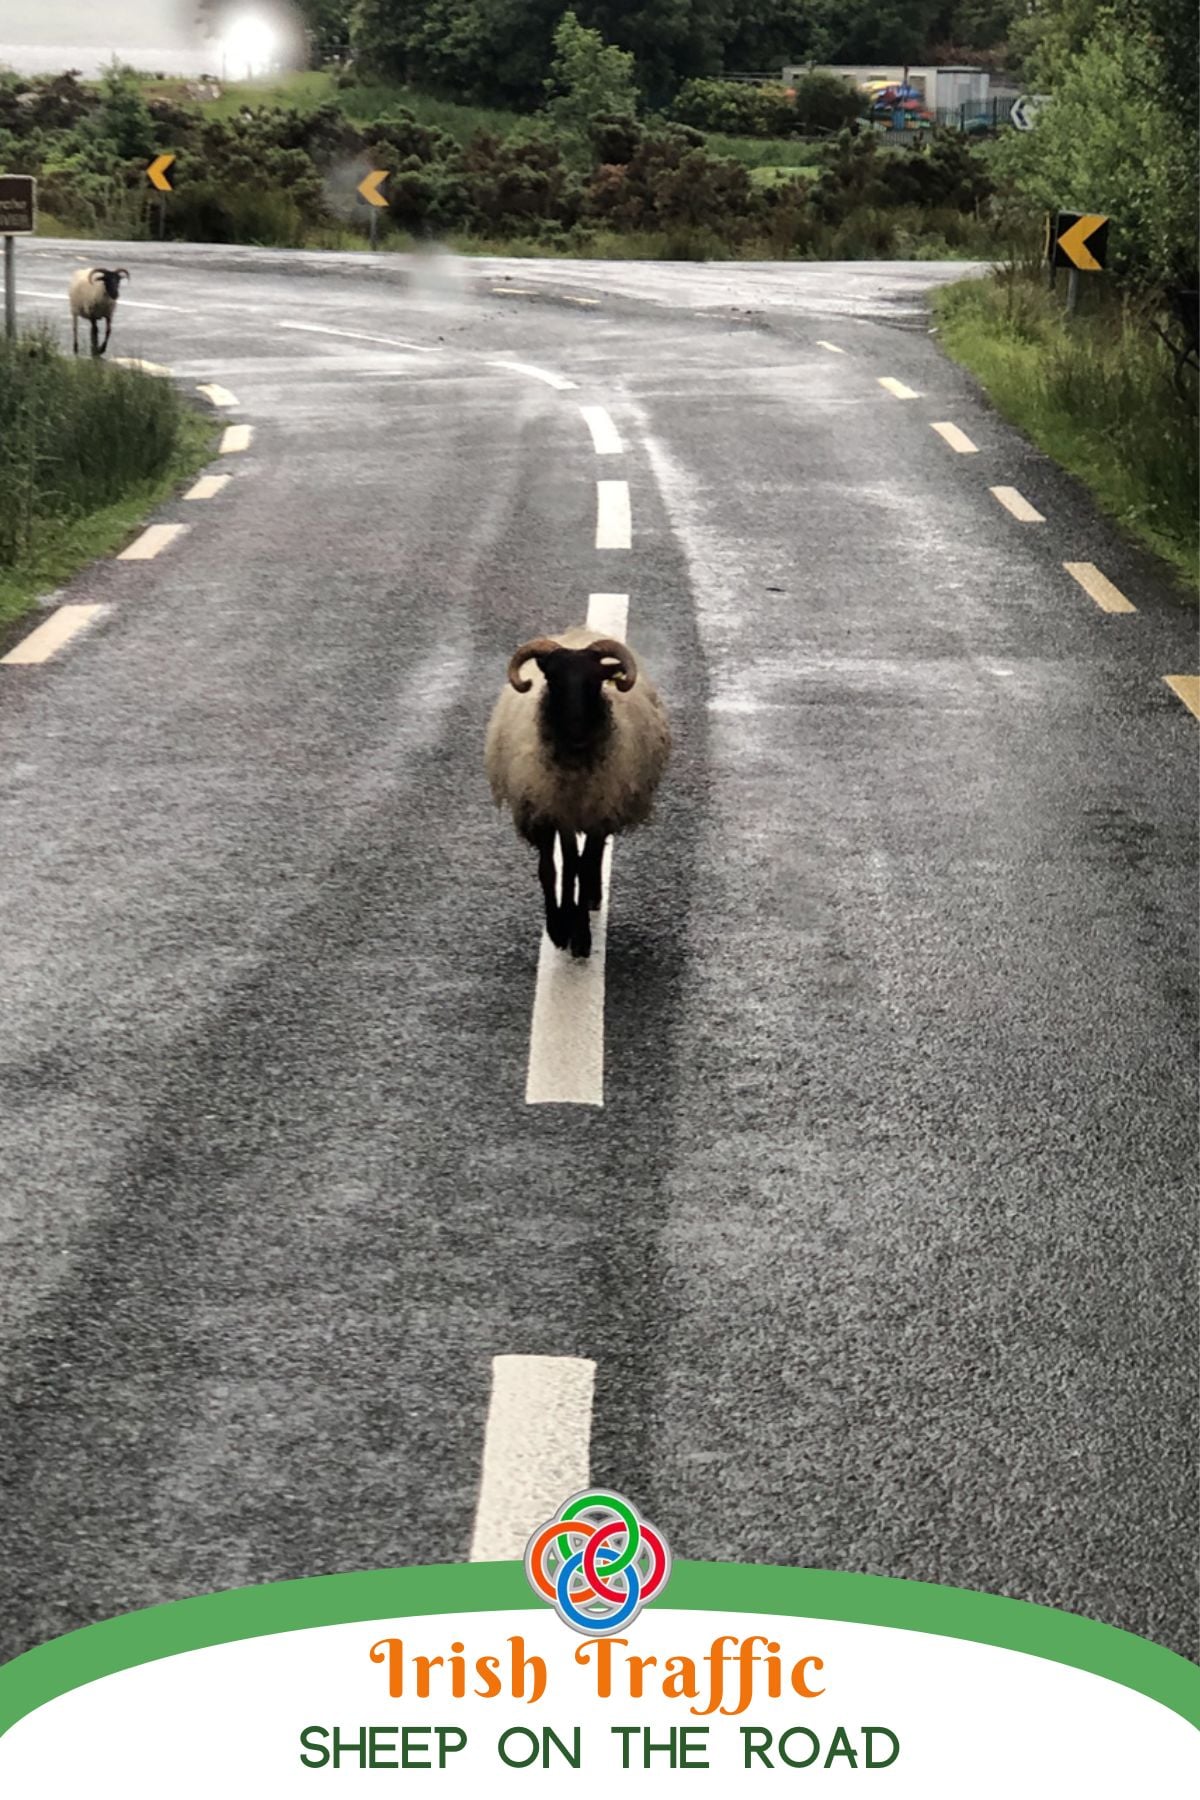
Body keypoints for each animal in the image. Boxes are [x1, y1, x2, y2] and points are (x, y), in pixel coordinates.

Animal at [485, 628, 671, 959]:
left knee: (589, 860)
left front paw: (581, 935)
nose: (576, 733)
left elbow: (583, 865)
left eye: (595, 680)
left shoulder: (599, 809)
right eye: (552, 678)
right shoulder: (550, 809)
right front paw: (559, 927)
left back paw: (592, 897)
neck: (574, 764)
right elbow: (555, 868)